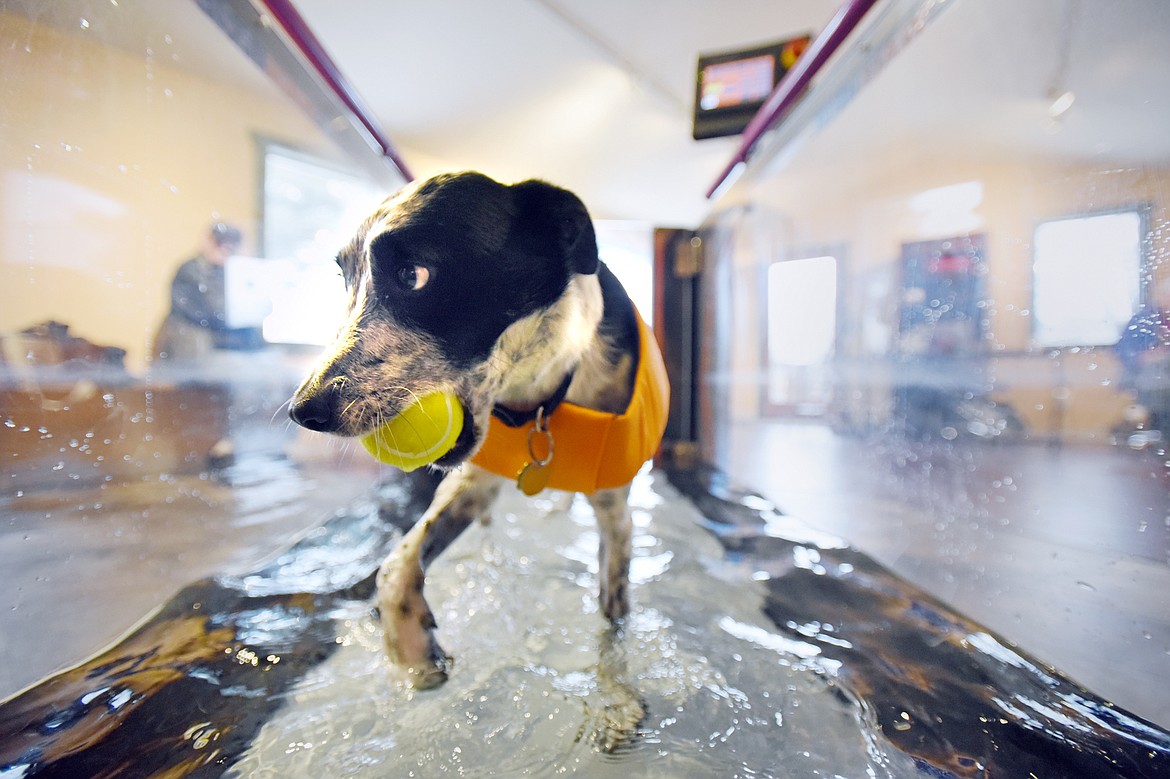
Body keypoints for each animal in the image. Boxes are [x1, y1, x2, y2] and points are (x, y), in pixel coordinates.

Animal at [287, 171, 669, 692]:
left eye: (414, 275)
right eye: (345, 277)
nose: (304, 410)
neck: (541, 398)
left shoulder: (616, 513)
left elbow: (615, 621)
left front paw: (617, 697)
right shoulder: (472, 481)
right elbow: (397, 562)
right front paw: (411, 647)